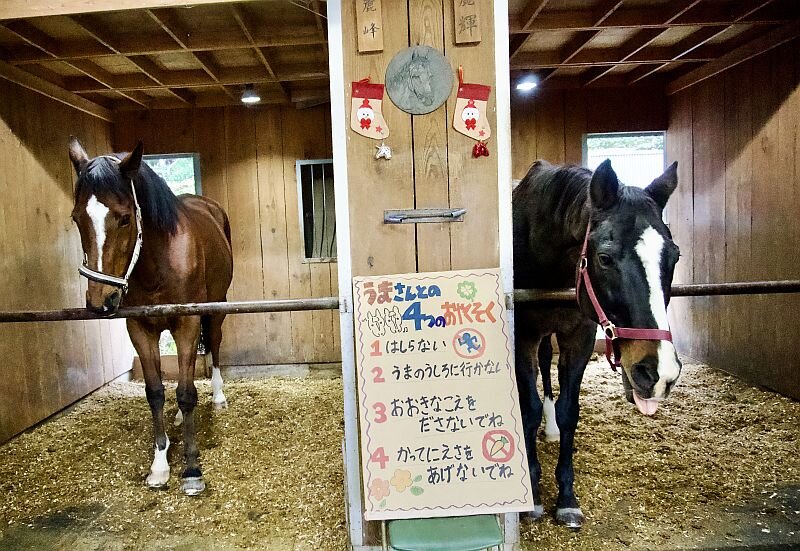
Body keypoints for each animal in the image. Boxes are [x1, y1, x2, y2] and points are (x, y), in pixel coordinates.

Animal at [69, 137, 233, 496]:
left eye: (124, 218)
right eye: (76, 218)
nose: (100, 300)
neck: (158, 262)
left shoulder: (187, 323)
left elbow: (186, 393)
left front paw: (192, 469)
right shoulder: (140, 327)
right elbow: (156, 392)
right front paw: (160, 464)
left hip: (216, 309)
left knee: (214, 346)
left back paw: (217, 397)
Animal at [512, 157, 680, 528]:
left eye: (674, 256)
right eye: (604, 258)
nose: (658, 372)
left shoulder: (580, 336)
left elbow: (569, 411)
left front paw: (566, 498)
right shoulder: (522, 337)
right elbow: (529, 409)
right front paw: (533, 492)